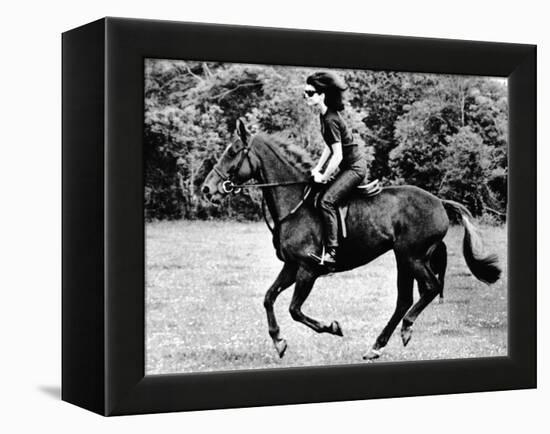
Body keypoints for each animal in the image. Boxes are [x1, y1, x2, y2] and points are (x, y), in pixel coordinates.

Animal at [201, 118, 502, 360]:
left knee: (429, 287)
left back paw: (405, 328)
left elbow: (295, 309)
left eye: (232, 151)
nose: (206, 189)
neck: (294, 205)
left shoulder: (308, 269)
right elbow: (268, 298)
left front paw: (332, 328)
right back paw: (377, 346)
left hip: (412, 256)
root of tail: (439, 202)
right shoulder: (291, 266)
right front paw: (278, 341)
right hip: (403, 258)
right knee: (404, 299)